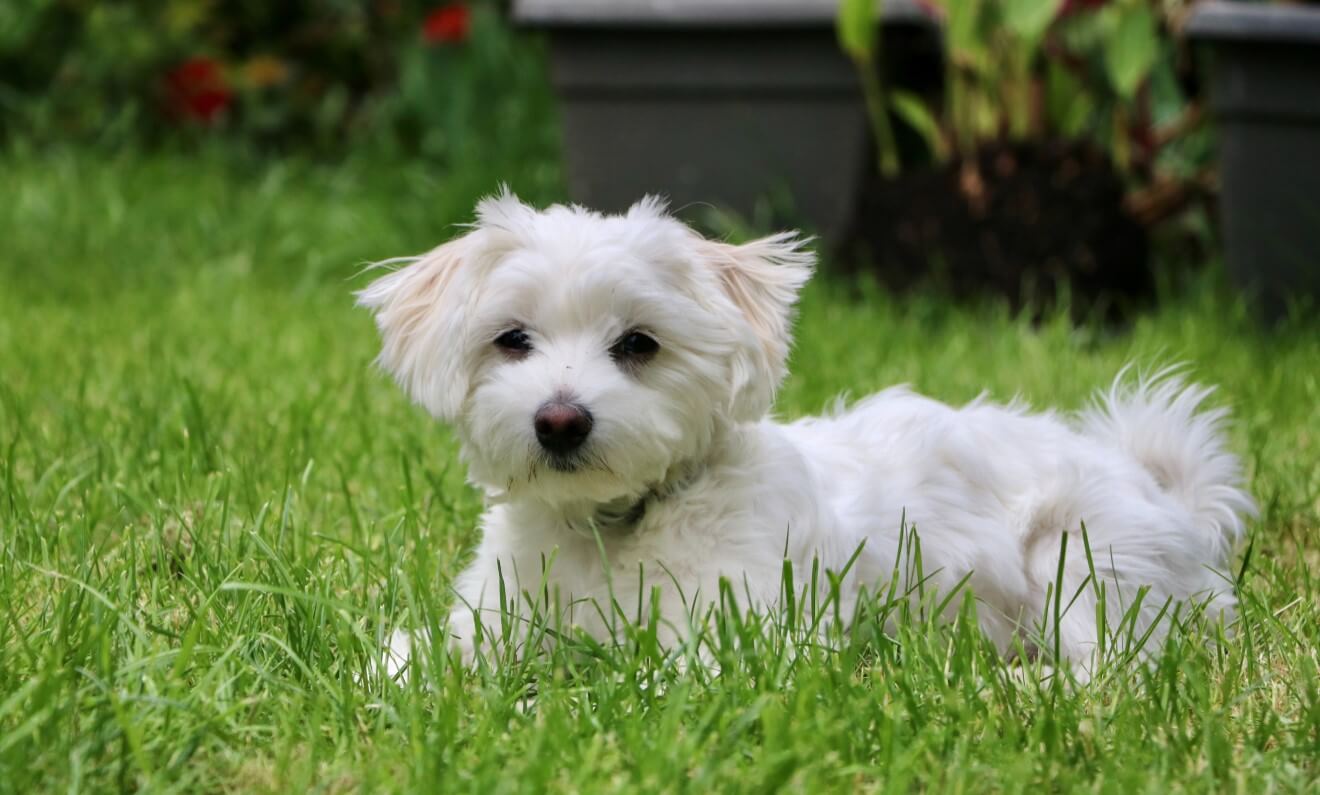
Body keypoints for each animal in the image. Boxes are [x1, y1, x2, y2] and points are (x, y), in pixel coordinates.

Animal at [356, 192, 1251, 673]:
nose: (560, 419)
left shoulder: (745, 635)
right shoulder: (493, 617)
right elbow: (412, 661)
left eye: (640, 344)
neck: (614, 529)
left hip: (1082, 558)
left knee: (1112, 668)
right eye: (512, 339)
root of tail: (1165, 494)